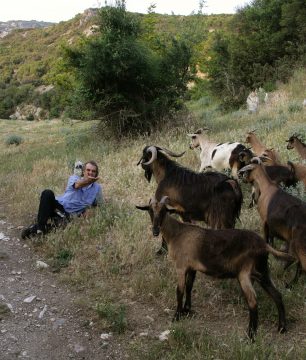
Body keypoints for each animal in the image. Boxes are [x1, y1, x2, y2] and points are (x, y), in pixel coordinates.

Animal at [137, 195, 292, 338]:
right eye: (150, 210)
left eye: (164, 211)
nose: (155, 231)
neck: (177, 233)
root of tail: (264, 245)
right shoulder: (192, 267)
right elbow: (189, 286)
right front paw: (187, 310)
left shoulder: (181, 266)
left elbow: (179, 291)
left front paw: (177, 316)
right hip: (262, 271)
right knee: (277, 295)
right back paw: (281, 328)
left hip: (244, 274)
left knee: (253, 302)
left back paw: (250, 335)